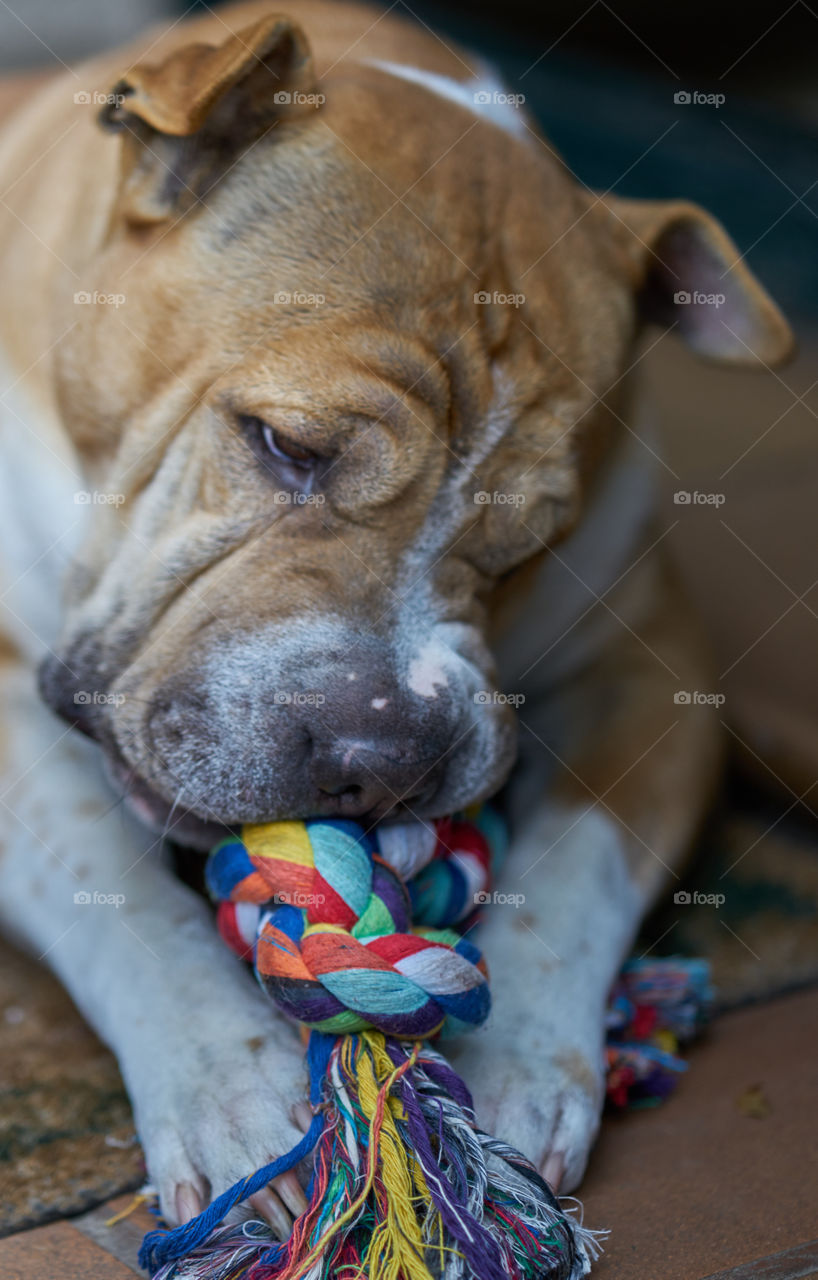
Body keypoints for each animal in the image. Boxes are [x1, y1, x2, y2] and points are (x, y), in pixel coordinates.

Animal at [0, 0, 793, 1239]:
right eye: (287, 442)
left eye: (531, 539)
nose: (382, 754)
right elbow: (103, 871)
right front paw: (227, 1078)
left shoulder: (650, 662)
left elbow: (581, 858)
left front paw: (518, 1064)